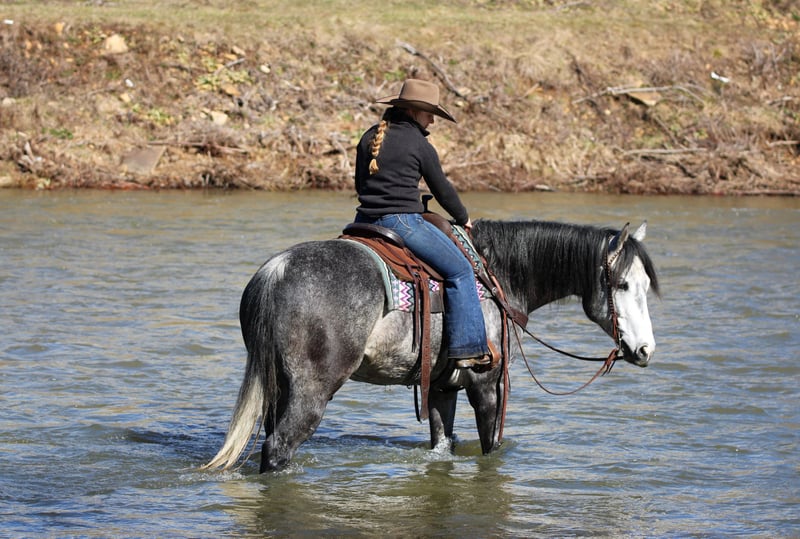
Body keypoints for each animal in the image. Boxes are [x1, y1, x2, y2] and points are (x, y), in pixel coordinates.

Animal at [202, 218, 659, 472]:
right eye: (622, 284)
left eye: (645, 285)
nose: (645, 351)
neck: (496, 272)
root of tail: (277, 271)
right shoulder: (486, 384)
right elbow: (490, 446)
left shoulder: (442, 387)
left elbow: (442, 444)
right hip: (312, 392)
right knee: (278, 447)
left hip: (279, 387)